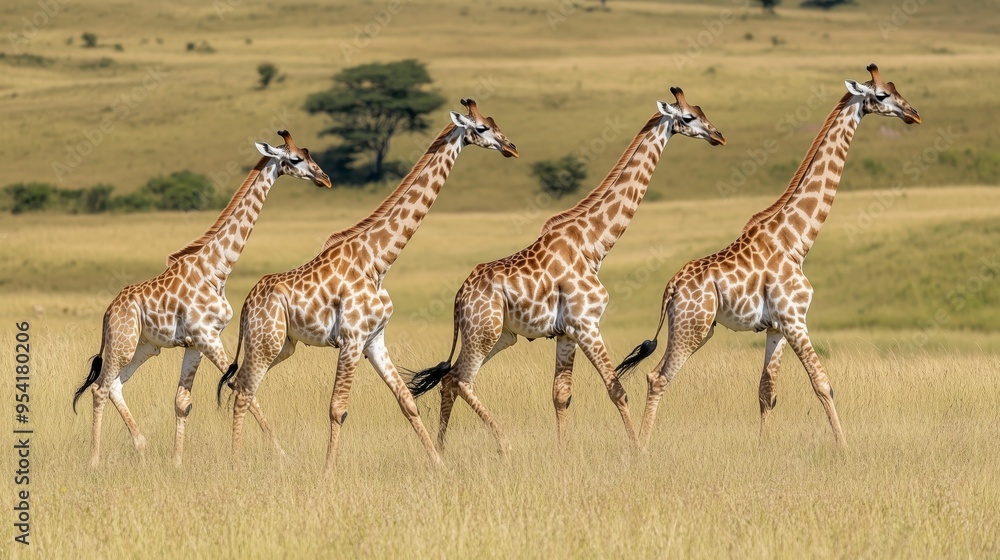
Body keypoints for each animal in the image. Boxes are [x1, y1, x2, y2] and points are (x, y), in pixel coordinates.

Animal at [72, 130, 331, 467]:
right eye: (296, 159)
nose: (325, 179)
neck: (217, 269)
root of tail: (108, 312)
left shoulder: (195, 343)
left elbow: (182, 401)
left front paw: (177, 463)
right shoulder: (207, 337)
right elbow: (238, 385)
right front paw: (282, 455)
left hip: (145, 347)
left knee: (115, 385)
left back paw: (142, 446)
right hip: (123, 342)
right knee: (99, 389)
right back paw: (94, 460)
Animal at [215, 99, 518, 474]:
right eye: (481, 128)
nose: (511, 147)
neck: (378, 260)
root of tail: (246, 304)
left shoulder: (374, 339)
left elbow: (407, 402)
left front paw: (440, 466)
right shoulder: (352, 338)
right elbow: (338, 409)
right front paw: (328, 473)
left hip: (281, 345)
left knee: (241, 385)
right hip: (265, 342)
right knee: (243, 391)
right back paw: (235, 462)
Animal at [407, 88, 726, 452]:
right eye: (688, 117)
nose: (718, 135)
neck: (593, 243)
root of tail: (459, 298)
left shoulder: (565, 333)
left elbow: (561, 395)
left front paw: (563, 452)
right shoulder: (586, 324)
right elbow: (617, 390)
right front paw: (637, 451)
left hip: (499, 336)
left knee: (449, 378)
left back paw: (442, 447)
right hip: (483, 332)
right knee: (461, 379)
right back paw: (502, 444)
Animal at [615, 64, 921, 451]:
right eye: (882, 95)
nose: (914, 114)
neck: (795, 238)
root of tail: (670, 289)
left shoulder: (775, 327)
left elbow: (766, 391)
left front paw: (763, 449)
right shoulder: (795, 318)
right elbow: (823, 384)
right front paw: (844, 449)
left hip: (696, 327)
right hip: (693, 326)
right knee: (658, 377)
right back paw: (641, 449)